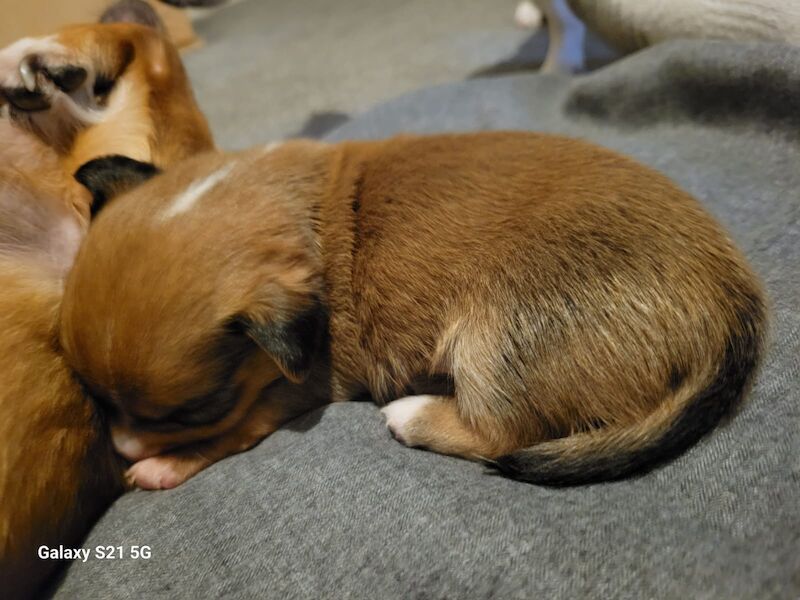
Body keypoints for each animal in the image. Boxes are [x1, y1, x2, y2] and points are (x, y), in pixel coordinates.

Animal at [59, 132, 764, 488]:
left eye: (193, 411)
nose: (119, 446)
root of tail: (734, 306)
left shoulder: (299, 386)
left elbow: (235, 429)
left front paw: (160, 465)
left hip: (501, 340)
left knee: (500, 432)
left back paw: (412, 413)